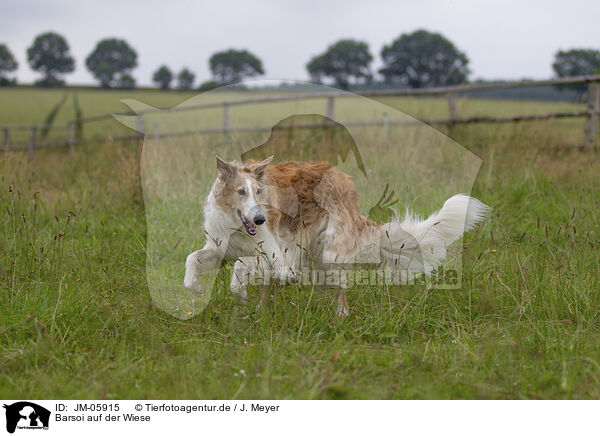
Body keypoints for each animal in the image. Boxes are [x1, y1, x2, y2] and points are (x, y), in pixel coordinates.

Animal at [185, 155, 490, 316]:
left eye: (258, 192)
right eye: (241, 192)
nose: (260, 218)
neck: (237, 225)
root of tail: (345, 185)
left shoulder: (278, 257)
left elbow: (244, 267)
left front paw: (240, 294)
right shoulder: (220, 248)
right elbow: (193, 259)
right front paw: (196, 288)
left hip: (329, 251)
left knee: (339, 292)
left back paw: (340, 318)